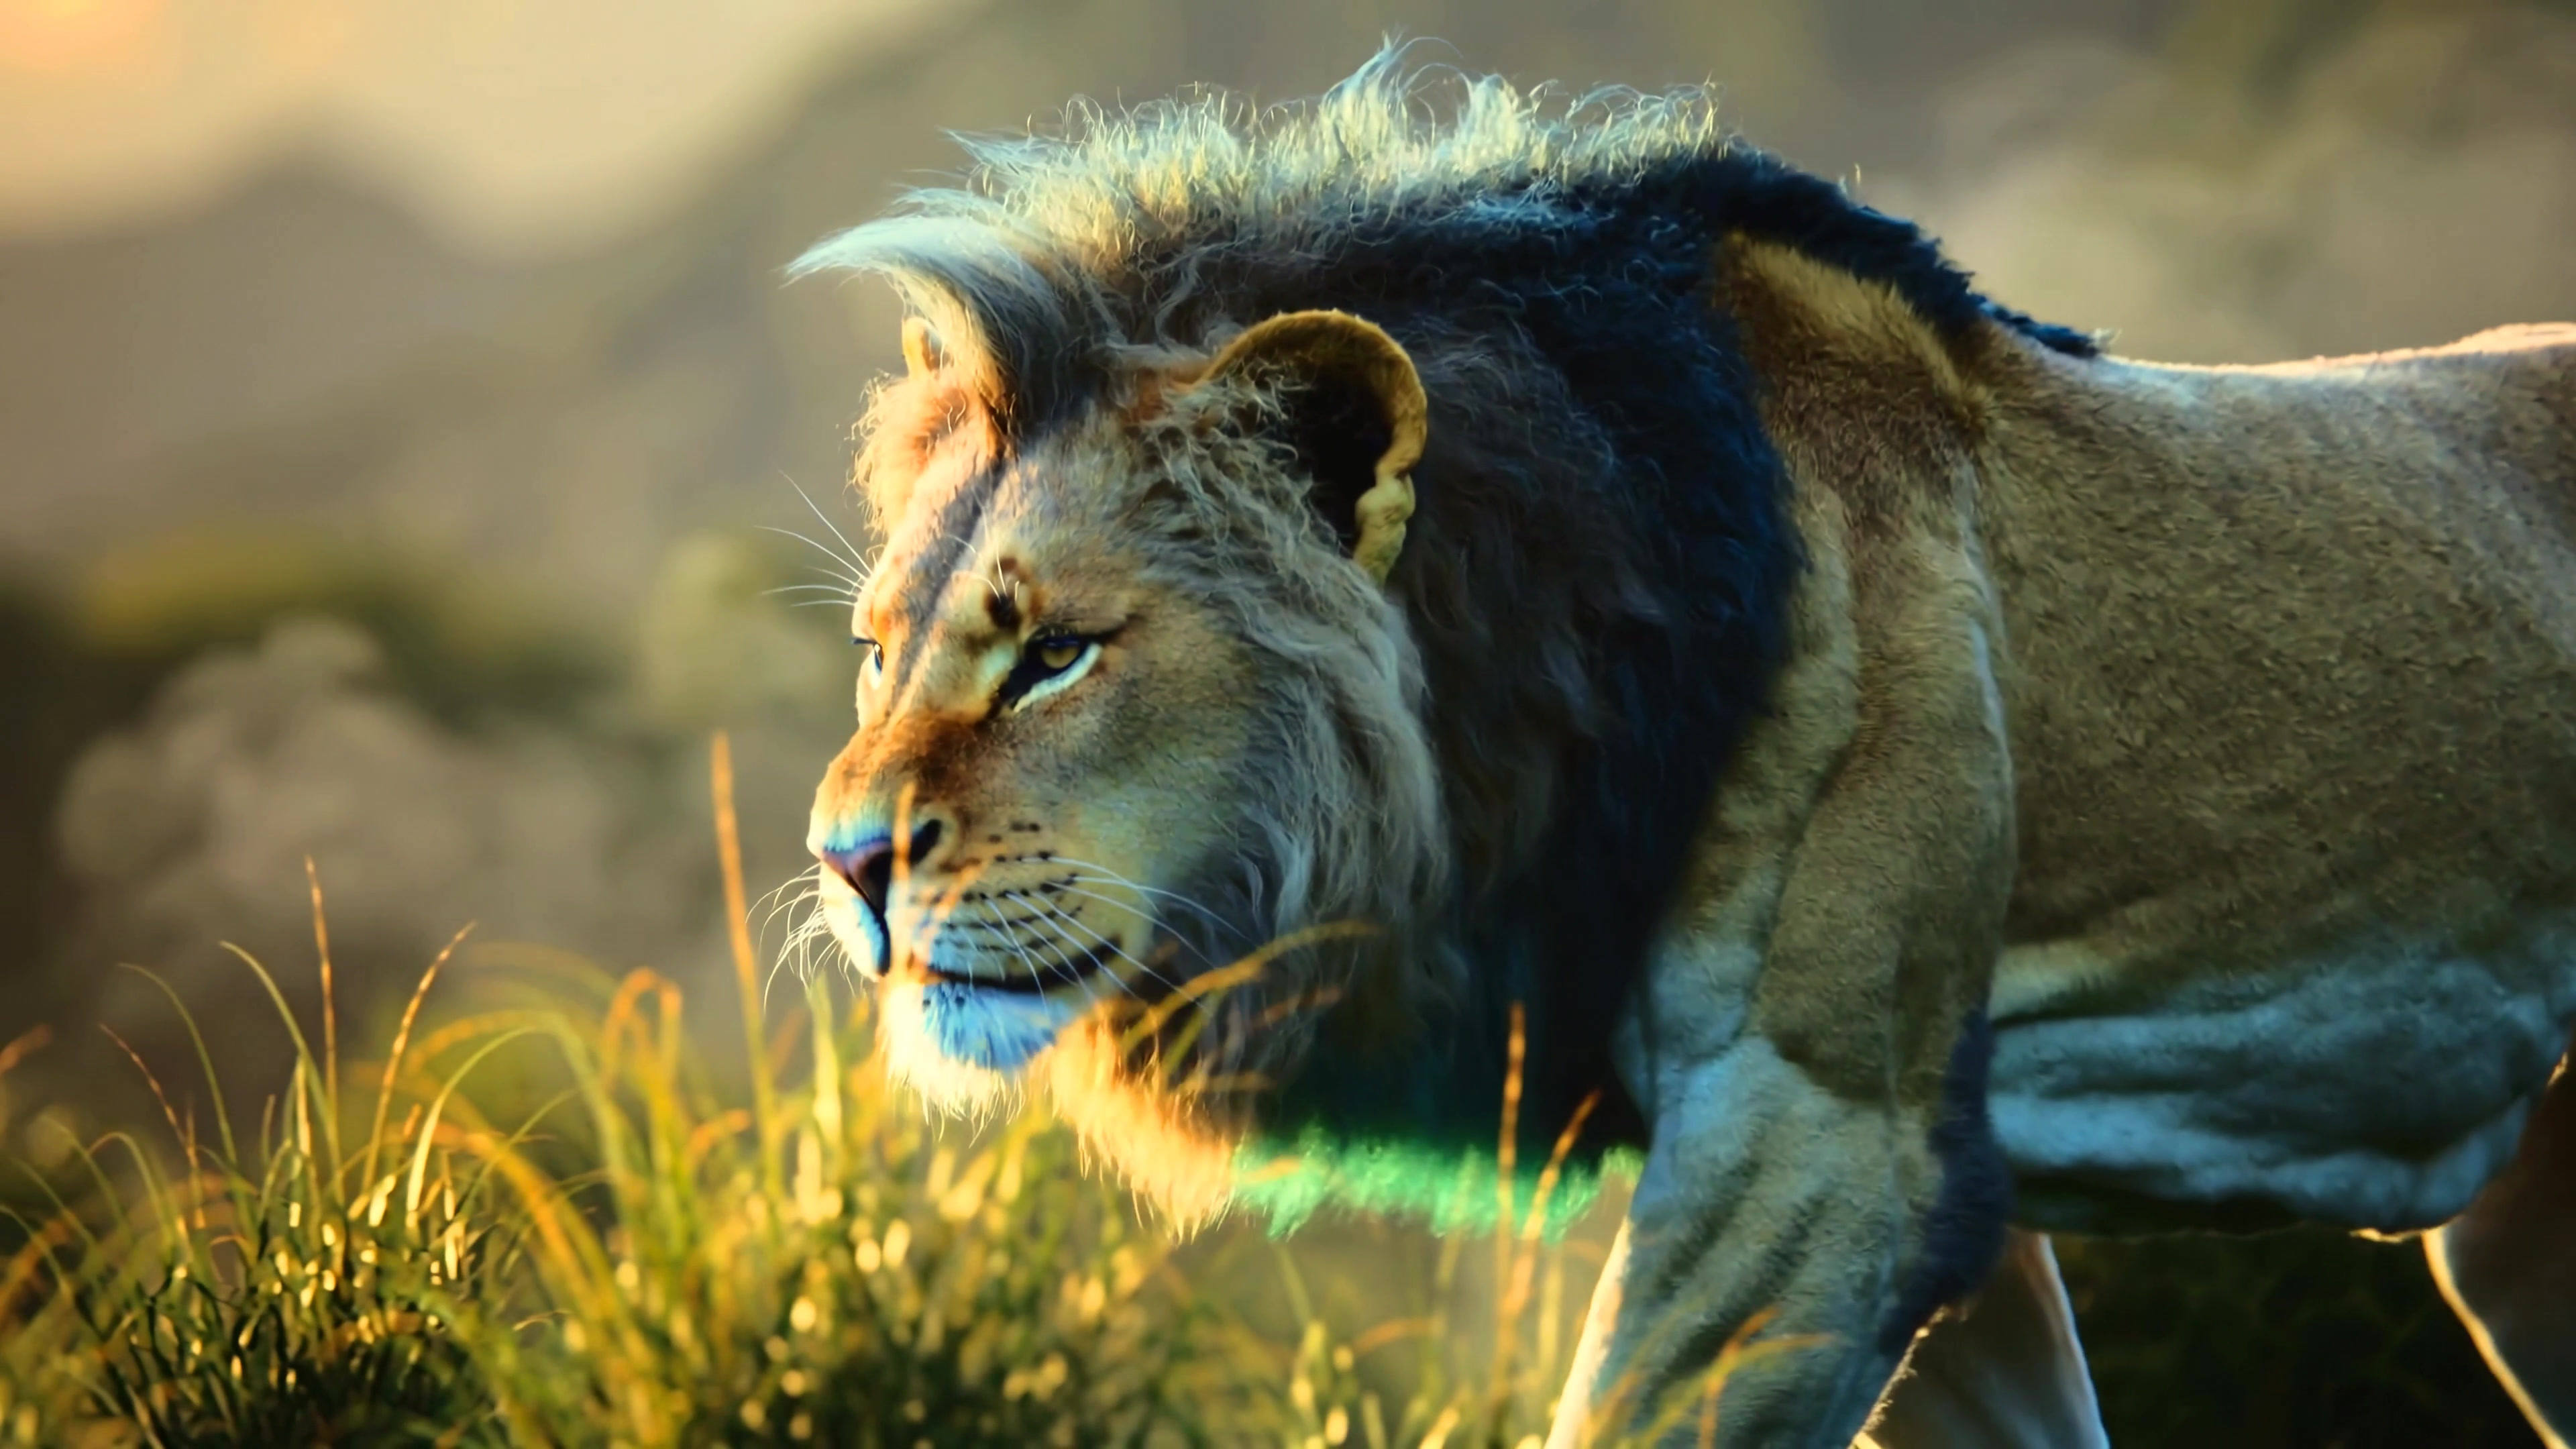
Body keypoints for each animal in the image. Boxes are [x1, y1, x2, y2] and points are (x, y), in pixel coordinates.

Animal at [790, 51, 2576, 1449]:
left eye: (1054, 654)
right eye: (878, 653)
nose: (845, 865)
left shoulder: (1816, 1144)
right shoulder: (1930, 1184)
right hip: (2518, 1246)